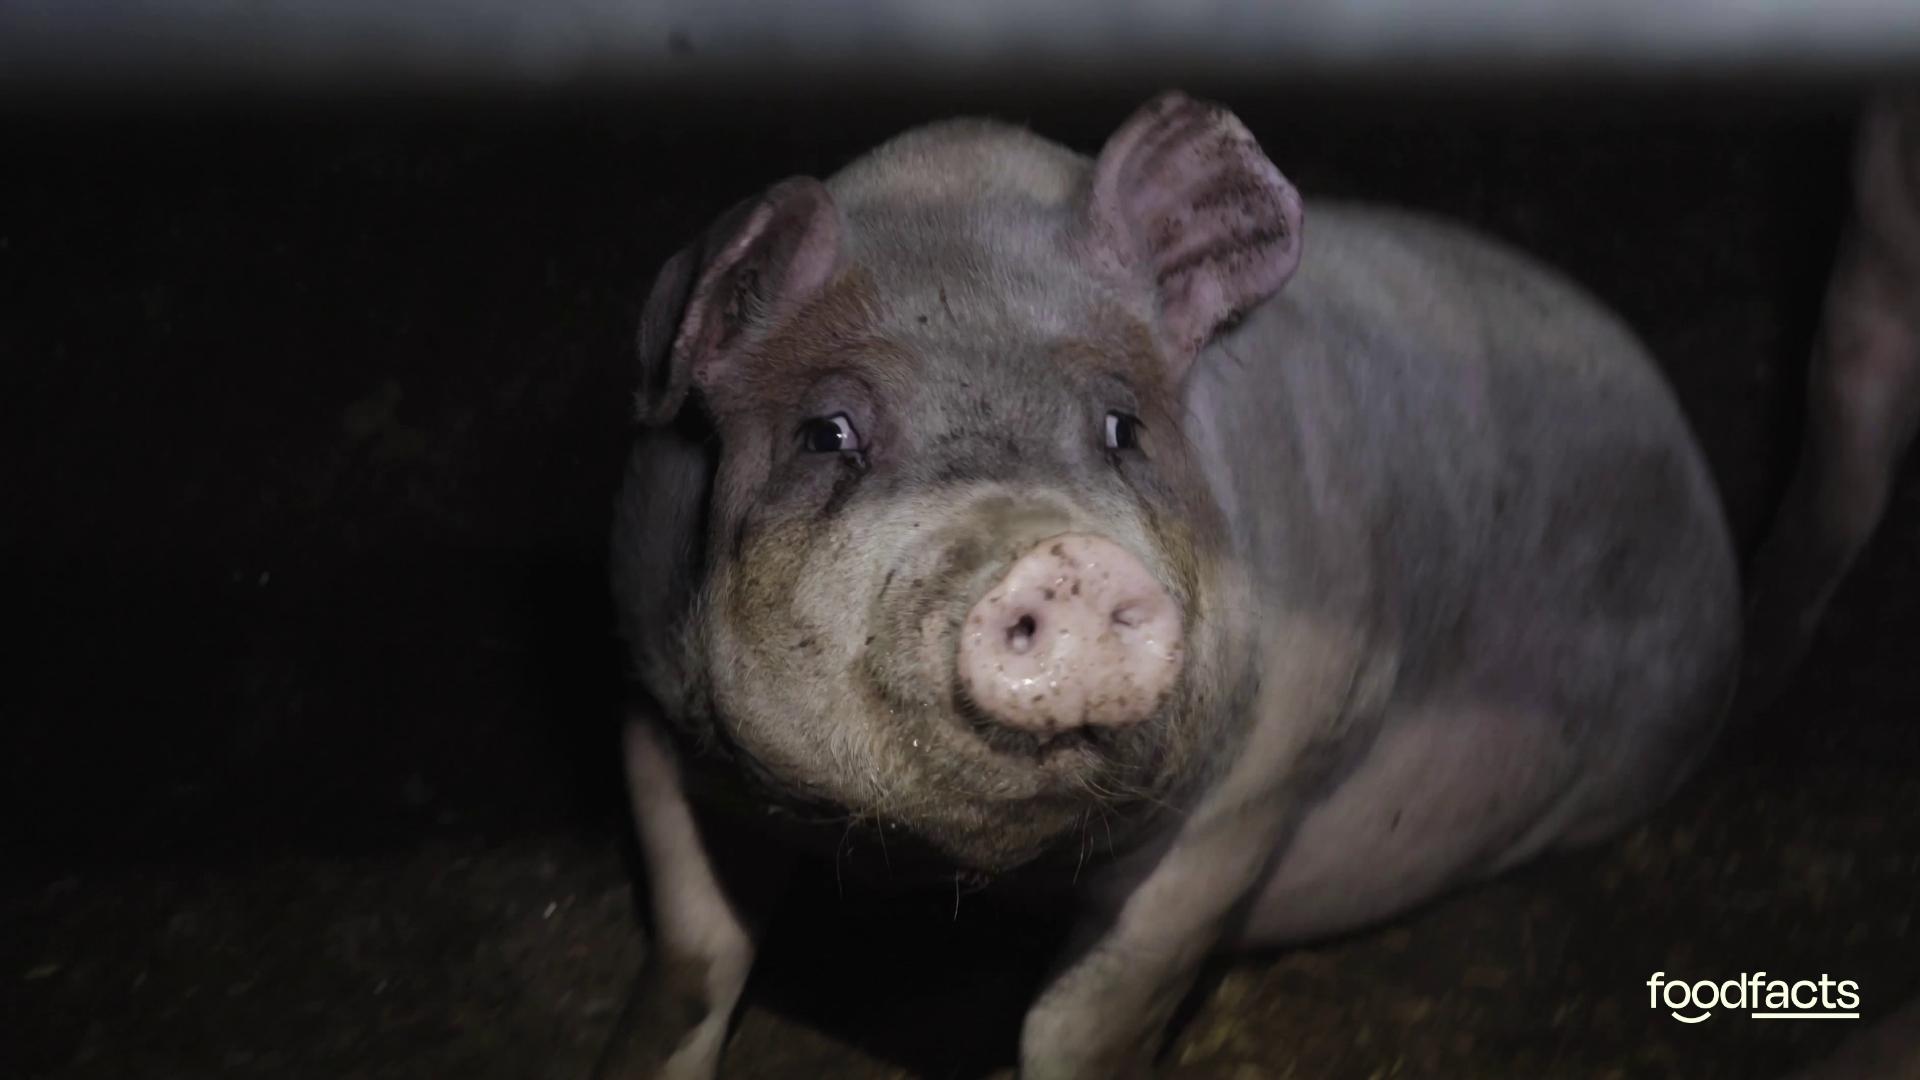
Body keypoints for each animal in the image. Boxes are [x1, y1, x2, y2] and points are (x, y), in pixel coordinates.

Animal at [605, 92, 1741, 1079]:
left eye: (1124, 428)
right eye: (827, 433)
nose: (1063, 558)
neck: (958, 871)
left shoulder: (1274, 762)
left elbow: (1092, 1012)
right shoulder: (652, 699)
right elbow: (696, 957)